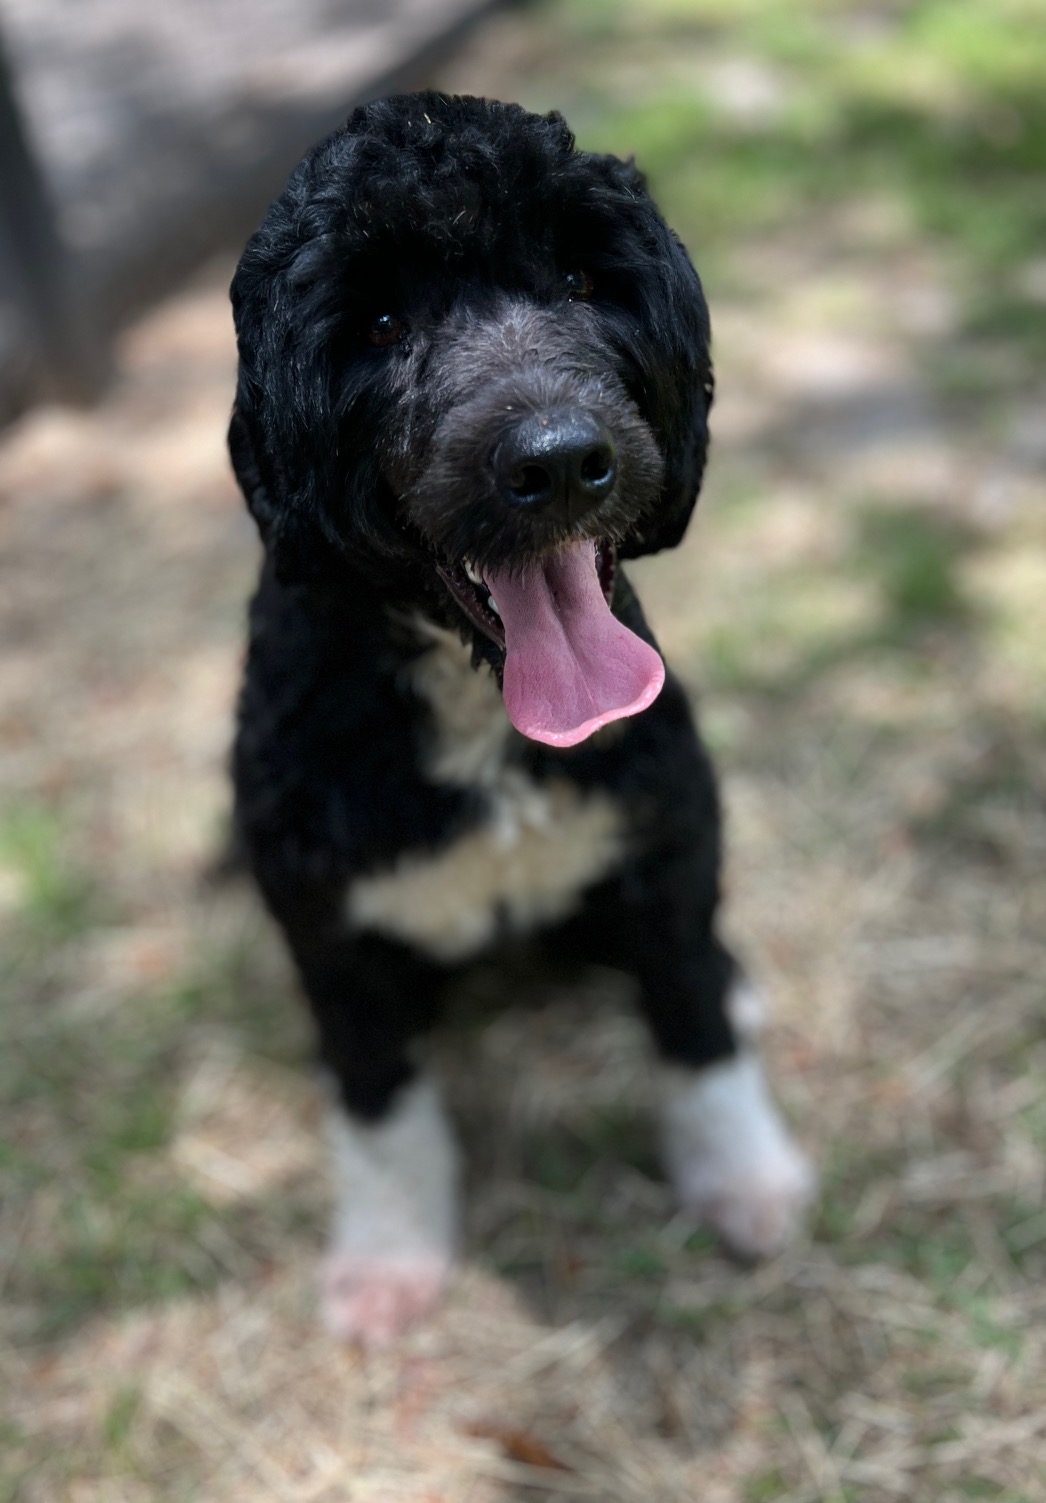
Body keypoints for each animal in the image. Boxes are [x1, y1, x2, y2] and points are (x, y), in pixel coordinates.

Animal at [231, 93, 817, 1346]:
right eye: (380, 320)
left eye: (581, 278)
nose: (557, 461)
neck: (478, 709)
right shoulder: (329, 934)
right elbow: (378, 1101)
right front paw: (389, 1257)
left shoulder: (664, 845)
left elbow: (693, 1023)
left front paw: (740, 1173)